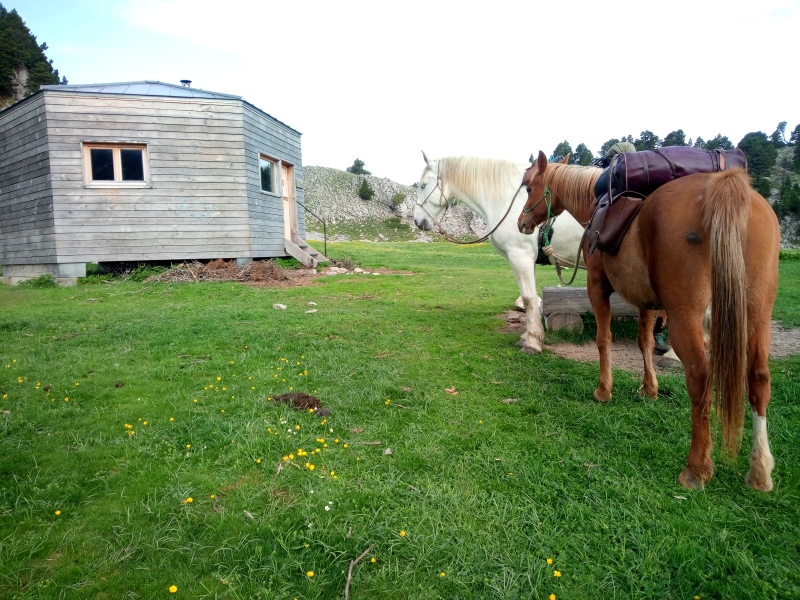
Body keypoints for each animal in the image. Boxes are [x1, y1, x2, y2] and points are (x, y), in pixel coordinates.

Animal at [416, 152, 584, 354]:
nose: (417, 220)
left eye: (423, 185)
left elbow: (528, 298)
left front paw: (533, 342)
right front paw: (528, 336)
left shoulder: (520, 256)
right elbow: (533, 298)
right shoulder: (529, 259)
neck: (508, 198)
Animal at [516, 151, 780, 492]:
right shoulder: (646, 302)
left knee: (700, 375)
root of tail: (725, 186)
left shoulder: (597, 288)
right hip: (756, 313)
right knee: (759, 378)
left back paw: (697, 468)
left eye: (529, 187)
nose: (522, 223)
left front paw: (604, 390)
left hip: (686, 315)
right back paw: (760, 469)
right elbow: (644, 341)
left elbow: (604, 339)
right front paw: (648, 388)